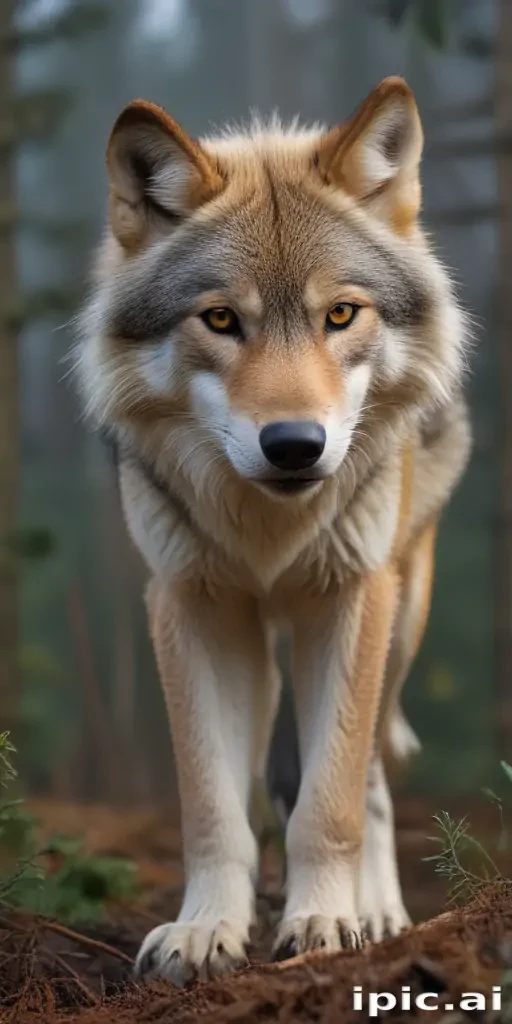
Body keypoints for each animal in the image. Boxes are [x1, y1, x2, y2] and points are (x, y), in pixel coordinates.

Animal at [77, 77, 471, 985]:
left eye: (341, 314)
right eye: (221, 320)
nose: (295, 444)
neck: (270, 531)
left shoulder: (351, 599)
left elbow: (330, 801)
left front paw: (324, 922)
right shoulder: (189, 606)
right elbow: (212, 806)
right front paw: (205, 931)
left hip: (399, 617)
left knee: (371, 781)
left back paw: (378, 911)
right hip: (256, 655)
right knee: (258, 778)